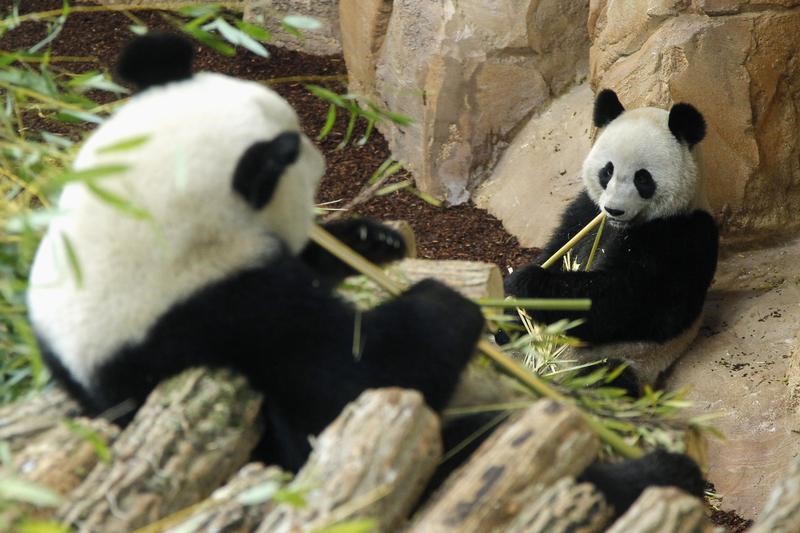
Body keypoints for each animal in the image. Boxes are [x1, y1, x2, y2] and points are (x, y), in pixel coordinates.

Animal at [506, 87, 720, 386]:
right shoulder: (585, 212)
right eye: (607, 170)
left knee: (604, 379)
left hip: (623, 361)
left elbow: (620, 302)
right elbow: (559, 248)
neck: (625, 226)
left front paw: (527, 283)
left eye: (643, 178)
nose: (614, 209)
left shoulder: (680, 238)